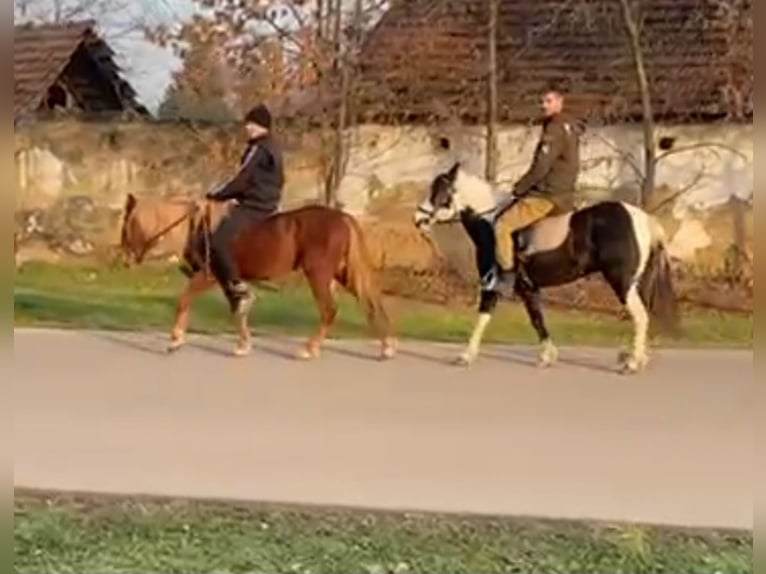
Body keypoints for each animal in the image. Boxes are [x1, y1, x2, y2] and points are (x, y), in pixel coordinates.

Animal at [172, 201, 400, 360]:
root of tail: (343, 217)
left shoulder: (209, 275)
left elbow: (185, 299)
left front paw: (175, 339)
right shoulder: (227, 280)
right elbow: (239, 310)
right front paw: (243, 345)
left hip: (318, 274)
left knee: (330, 309)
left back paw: (309, 349)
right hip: (343, 273)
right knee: (370, 302)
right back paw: (387, 347)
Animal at [416, 164, 680, 376]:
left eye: (440, 190)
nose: (418, 219)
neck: (489, 223)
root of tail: (643, 218)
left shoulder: (495, 283)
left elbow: (485, 315)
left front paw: (465, 356)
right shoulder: (528, 288)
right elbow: (537, 319)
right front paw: (547, 356)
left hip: (621, 282)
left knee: (640, 317)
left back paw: (632, 363)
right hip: (637, 283)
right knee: (643, 316)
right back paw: (637, 358)